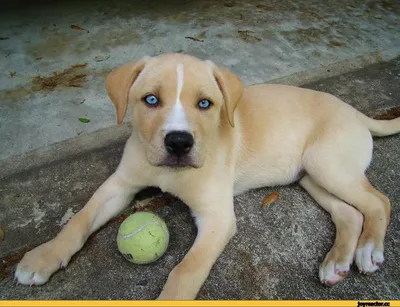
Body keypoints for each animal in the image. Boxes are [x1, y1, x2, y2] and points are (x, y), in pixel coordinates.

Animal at [14, 53, 400, 300]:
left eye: (205, 104)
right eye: (150, 100)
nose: (179, 142)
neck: (171, 172)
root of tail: (355, 111)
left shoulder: (217, 218)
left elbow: (185, 271)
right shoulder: (120, 185)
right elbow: (80, 219)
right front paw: (43, 257)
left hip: (327, 164)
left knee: (378, 201)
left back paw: (368, 250)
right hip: (310, 175)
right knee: (349, 213)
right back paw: (336, 263)